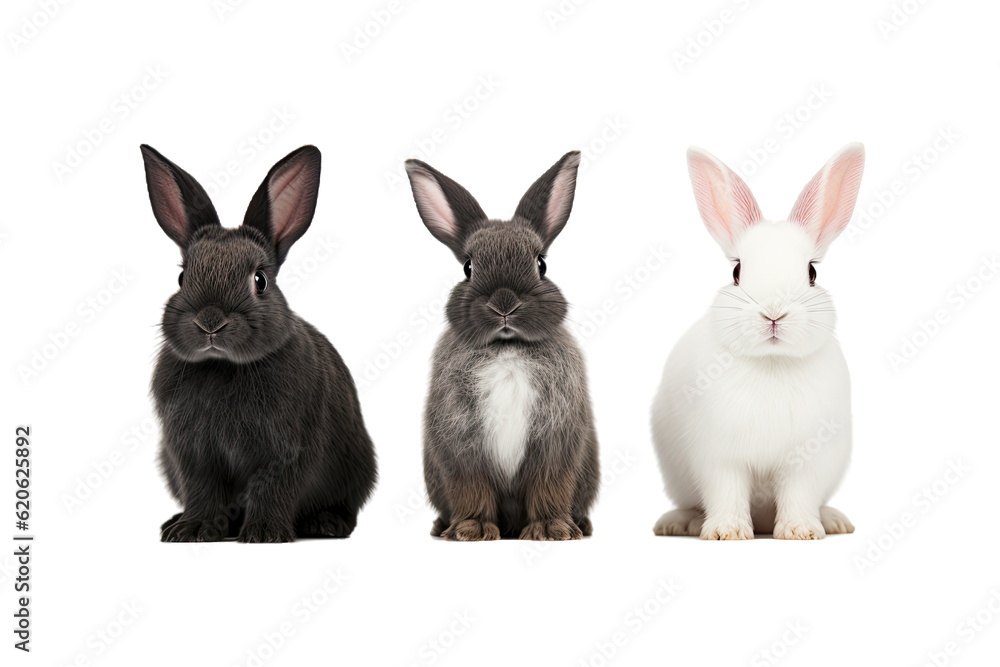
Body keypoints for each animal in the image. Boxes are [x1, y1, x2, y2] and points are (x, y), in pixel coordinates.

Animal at [141, 144, 377, 543]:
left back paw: (324, 523)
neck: (222, 366)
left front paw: (264, 534)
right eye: (182, 277)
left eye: (260, 280)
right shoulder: (193, 455)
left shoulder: (285, 451)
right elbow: (203, 491)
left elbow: (273, 488)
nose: (210, 322)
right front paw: (193, 530)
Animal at [404, 151, 600, 541]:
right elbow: (472, 489)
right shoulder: (462, 447)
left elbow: (549, 487)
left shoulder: (553, 446)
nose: (504, 303)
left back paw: (581, 525)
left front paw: (551, 529)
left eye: (541, 264)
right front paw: (471, 530)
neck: (507, 348)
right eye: (468, 267)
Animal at [651, 144, 864, 540]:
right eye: (736, 271)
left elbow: (799, 494)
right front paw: (726, 532)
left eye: (812, 272)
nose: (773, 313)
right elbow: (727, 492)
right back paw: (680, 523)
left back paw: (833, 521)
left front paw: (801, 531)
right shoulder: (721, 458)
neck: (771, 362)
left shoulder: (806, 461)